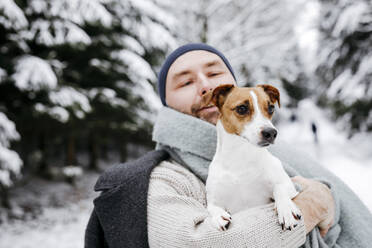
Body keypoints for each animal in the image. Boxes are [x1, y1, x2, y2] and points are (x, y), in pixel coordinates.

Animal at [205, 83, 300, 231]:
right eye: (242, 108)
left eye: (271, 108)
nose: (271, 133)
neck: (241, 156)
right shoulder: (215, 198)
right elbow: (212, 207)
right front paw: (219, 216)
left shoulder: (288, 185)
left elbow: (280, 188)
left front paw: (287, 210)